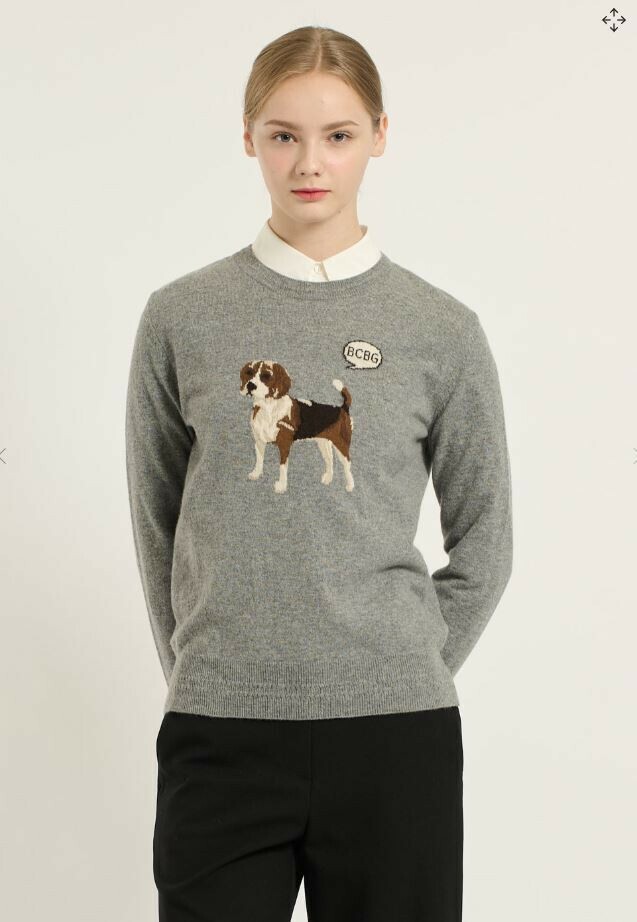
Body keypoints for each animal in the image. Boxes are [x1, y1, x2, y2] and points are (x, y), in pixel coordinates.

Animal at [239, 360, 354, 493]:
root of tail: (342, 408)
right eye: (249, 372)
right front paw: (256, 474)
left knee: (347, 465)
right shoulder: (259, 441)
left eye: (266, 375)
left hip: (341, 445)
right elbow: (259, 460)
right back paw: (328, 479)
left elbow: (282, 467)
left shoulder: (284, 445)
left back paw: (350, 485)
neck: (267, 408)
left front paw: (281, 486)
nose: (250, 385)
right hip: (323, 443)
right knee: (329, 460)